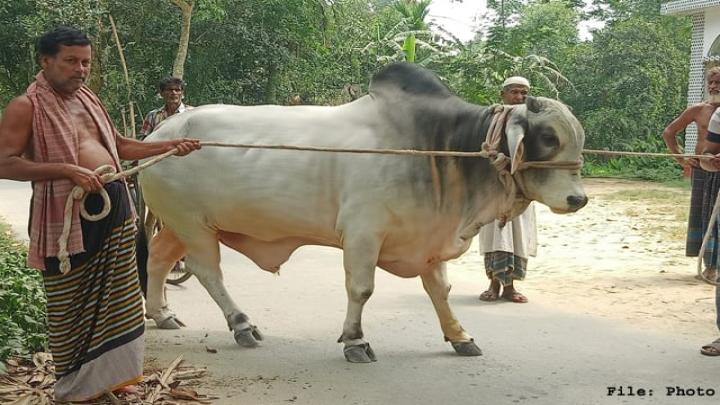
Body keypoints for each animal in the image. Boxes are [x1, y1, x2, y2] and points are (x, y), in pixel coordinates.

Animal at [138, 63, 588, 362]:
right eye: (549, 137)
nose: (578, 199)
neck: (436, 147)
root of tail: (160, 134)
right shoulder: (362, 234)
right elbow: (361, 289)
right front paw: (355, 340)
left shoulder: (428, 239)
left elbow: (439, 291)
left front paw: (460, 337)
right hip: (192, 225)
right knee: (208, 272)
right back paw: (242, 325)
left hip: (181, 225)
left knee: (159, 258)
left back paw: (162, 314)